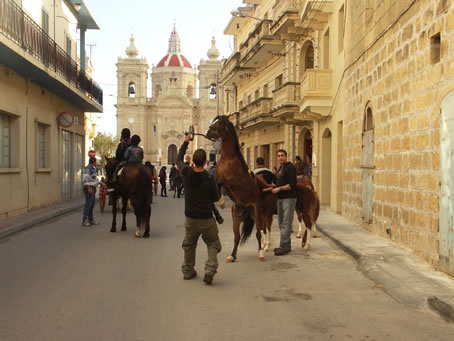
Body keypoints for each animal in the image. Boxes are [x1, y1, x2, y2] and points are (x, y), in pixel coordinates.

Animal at [206, 114, 266, 260]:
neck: (229, 159)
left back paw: (261, 253)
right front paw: (219, 212)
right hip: (236, 218)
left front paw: (221, 203)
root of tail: (246, 210)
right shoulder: (218, 179)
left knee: (258, 233)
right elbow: (214, 192)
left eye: (220, 122)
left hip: (257, 215)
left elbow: (220, 185)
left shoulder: (230, 182)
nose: (208, 132)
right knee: (237, 237)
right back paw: (232, 256)